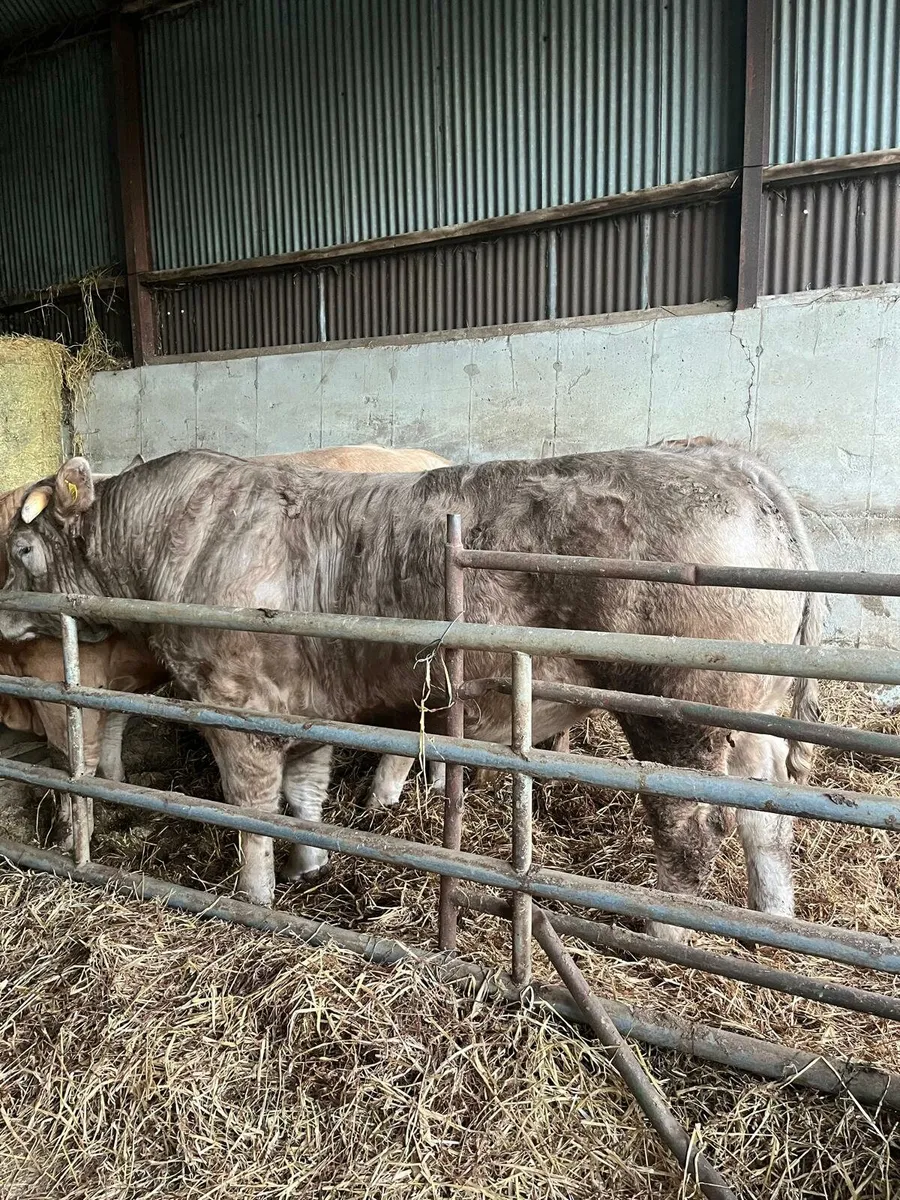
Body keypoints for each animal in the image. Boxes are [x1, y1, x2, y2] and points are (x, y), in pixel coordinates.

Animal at [0, 445, 451, 846]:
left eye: (21, 549)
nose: (3, 613)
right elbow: (111, 735)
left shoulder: (65, 684)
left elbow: (73, 759)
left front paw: (69, 835)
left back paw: (380, 802)